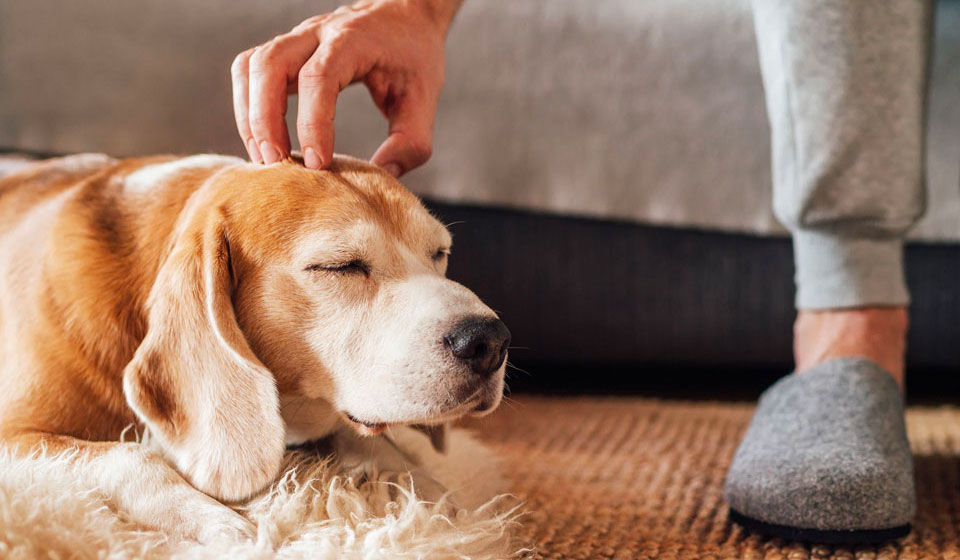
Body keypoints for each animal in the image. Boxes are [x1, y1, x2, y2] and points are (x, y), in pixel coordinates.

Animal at [0, 152, 510, 540]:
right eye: (340, 266)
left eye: (439, 254)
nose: (489, 341)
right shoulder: (13, 436)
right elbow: (129, 457)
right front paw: (215, 522)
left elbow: (373, 446)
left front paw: (432, 496)